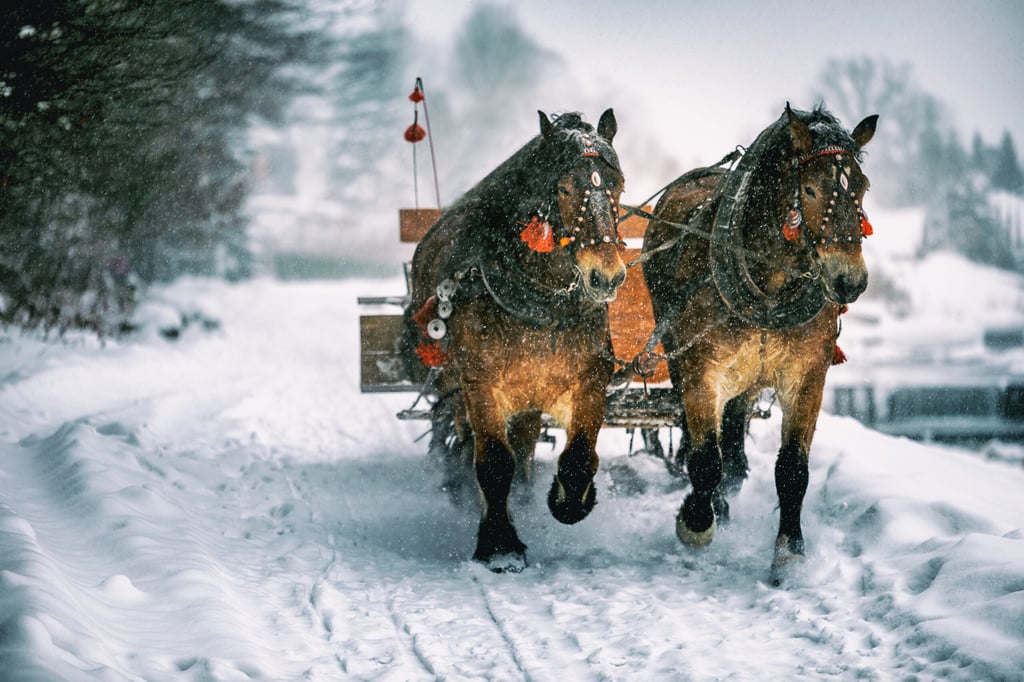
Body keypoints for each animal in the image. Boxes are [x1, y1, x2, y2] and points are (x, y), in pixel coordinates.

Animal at [405, 110, 627, 572]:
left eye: (618, 185)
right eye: (563, 187)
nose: (607, 276)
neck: (543, 306)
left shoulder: (589, 377)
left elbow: (580, 457)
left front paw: (569, 499)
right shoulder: (481, 382)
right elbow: (492, 461)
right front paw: (500, 543)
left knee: (524, 443)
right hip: (454, 385)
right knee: (469, 439)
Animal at [640, 104, 878, 583]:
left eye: (861, 186)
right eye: (810, 188)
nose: (851, 280)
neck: (770, 287)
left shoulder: (807, 376)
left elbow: (792, 470)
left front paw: (789, 552)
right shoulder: (702, 371)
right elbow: (704, 460)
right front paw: (695, 521)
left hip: (747, 379)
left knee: (734, 438)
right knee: (706, 443)